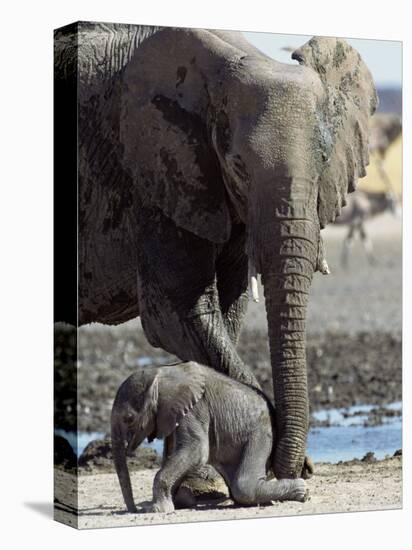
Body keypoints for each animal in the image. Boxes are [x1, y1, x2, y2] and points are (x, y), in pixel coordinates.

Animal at [54, 22, 376, 478]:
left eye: (324, 160)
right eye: (237, 166)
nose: (296, 469)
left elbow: (229, 309)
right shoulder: (154, 176)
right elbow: (179, 314)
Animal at [111, 362, 308, 512]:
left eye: (129, 419)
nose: (134, 511)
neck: (160, 373)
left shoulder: (195, 410)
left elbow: (196, 451)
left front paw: (158, 510)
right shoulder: (172, 415)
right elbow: (173, 454)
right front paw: (173, 503)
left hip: (261, 432)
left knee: (244, 487)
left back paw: (302, 491)